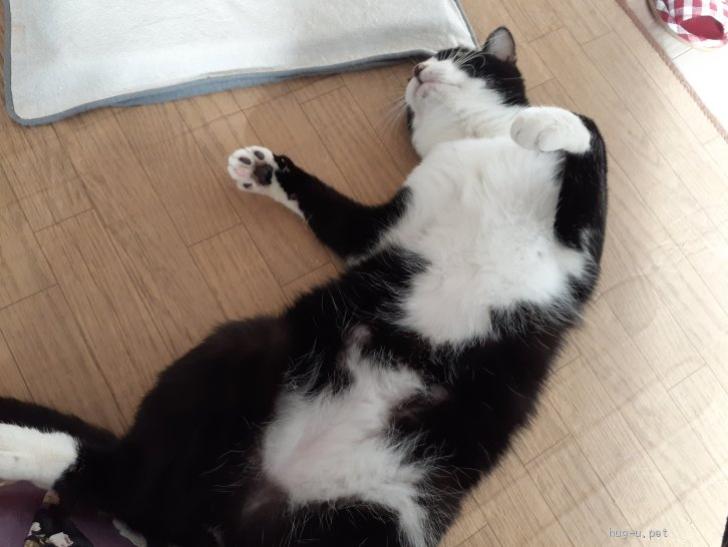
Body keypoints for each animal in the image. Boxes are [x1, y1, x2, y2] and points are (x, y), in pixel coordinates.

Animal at [0, 27, 607, 547]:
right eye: (424, 66)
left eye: (459, 56)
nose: (418, 68)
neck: (474, 141)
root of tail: (230, 518)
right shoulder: (381, 228)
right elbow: (331, 210)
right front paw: (266, 173)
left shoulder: (577, 248)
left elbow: (586, 133)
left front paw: (537, 125)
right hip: (244, 349)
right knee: (124, 477)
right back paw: (16, 447)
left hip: (385, 515)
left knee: (126, 490)